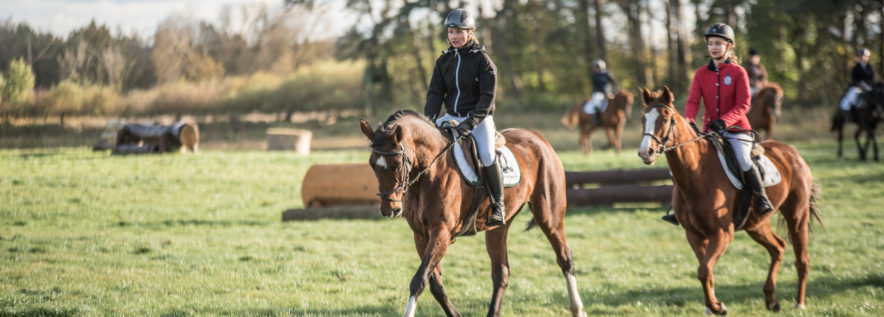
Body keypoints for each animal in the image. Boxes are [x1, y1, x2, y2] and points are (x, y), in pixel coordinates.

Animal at [360, 109, 588, 316]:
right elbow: (435, 284)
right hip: (498, 227)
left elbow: (419, 280)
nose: (390, 209)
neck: (429, 172)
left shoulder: (441, 233)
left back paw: (577, 309)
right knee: (501, 272)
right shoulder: (421, 235)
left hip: (549, 216)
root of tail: (539, 139)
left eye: (398, 165)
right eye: (372, 164)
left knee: (565, 258)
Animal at [636, 86, 820, 314]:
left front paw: (717, 307)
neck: (697, 174)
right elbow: (705, 270)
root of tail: (793, 152)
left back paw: (799, 303)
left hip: (797, 215)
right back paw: (771, 300)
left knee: (801, 257)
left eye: (665, 118)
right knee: (778, 247)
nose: (646, 152)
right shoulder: (694, 235)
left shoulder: (723, 233)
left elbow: (704, 270)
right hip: (756, 224)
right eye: (644, 118)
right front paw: (712, 306)